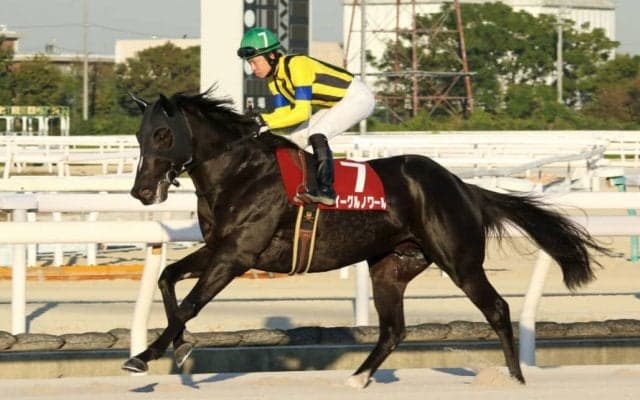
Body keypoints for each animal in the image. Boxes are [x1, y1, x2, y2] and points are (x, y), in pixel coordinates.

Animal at [124, 90, 608, 388]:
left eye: (163, 134)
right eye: (139, 135)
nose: (141, 192)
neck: (240, 171)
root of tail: (463, 187)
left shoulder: (238, 254)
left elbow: (191, 302)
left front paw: (145, 356)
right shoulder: (219, 248)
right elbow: (167, 279)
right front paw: (180, 346)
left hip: (460, 260)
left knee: (498, 309)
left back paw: (514, 380)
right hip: (391, 266)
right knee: (394, 329)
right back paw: (358, 377)